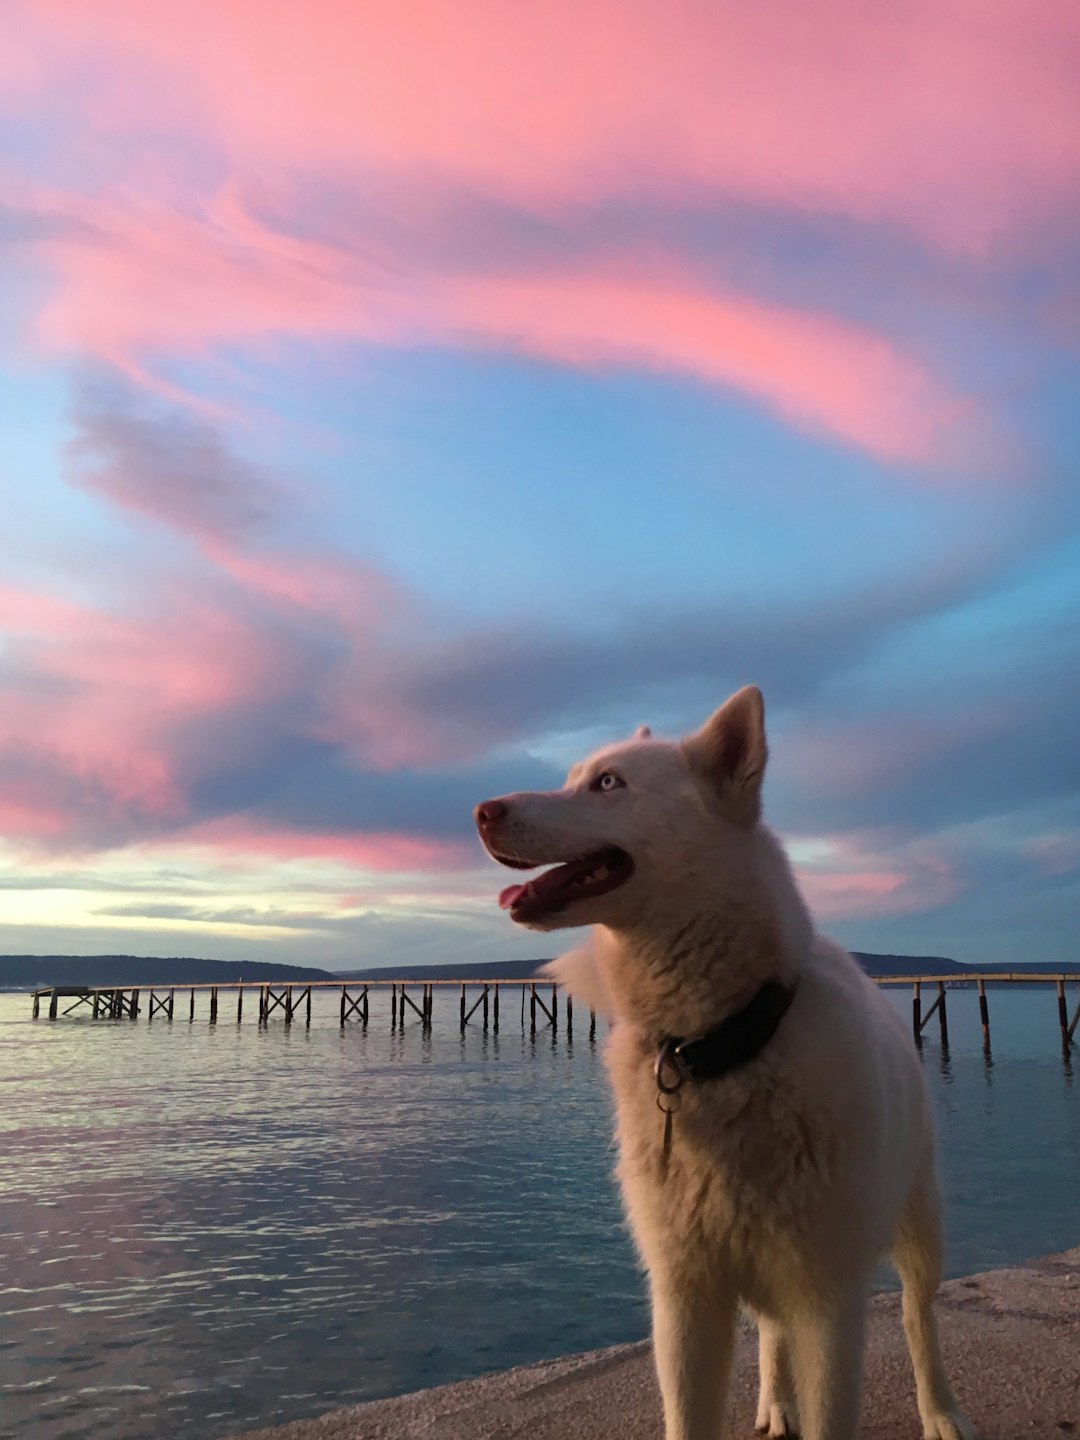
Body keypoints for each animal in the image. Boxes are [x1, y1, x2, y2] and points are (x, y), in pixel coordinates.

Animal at [475, 682, 979, 1440]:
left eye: (608, 783)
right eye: (571, 776)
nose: (482, 811)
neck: (715, 1045)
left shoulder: (827, 1296)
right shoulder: (685, 1296)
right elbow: (692, 1412)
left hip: (919, 1224)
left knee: (920, 1317)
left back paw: (941, 1410)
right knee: (771, 1332)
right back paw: (775, 1404)